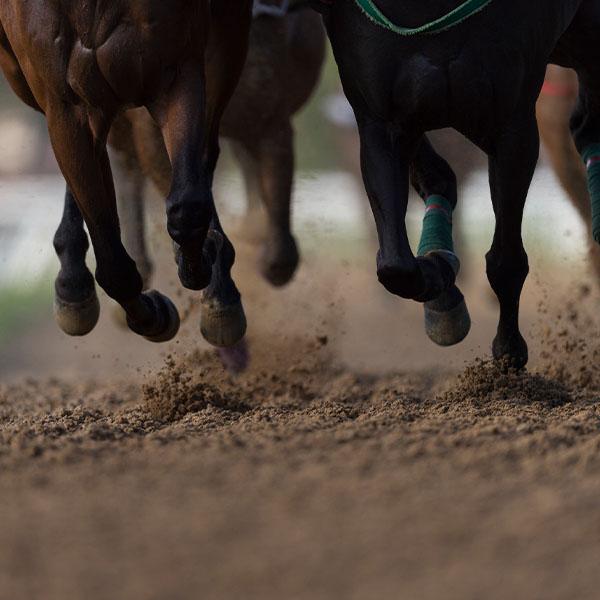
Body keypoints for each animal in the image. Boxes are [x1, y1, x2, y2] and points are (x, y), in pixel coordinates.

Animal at [314, 0, 600, 368]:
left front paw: (508, 350)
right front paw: (440, 280)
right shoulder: (380, 119)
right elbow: (396, 265)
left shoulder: (513, 123)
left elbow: (506, 259)